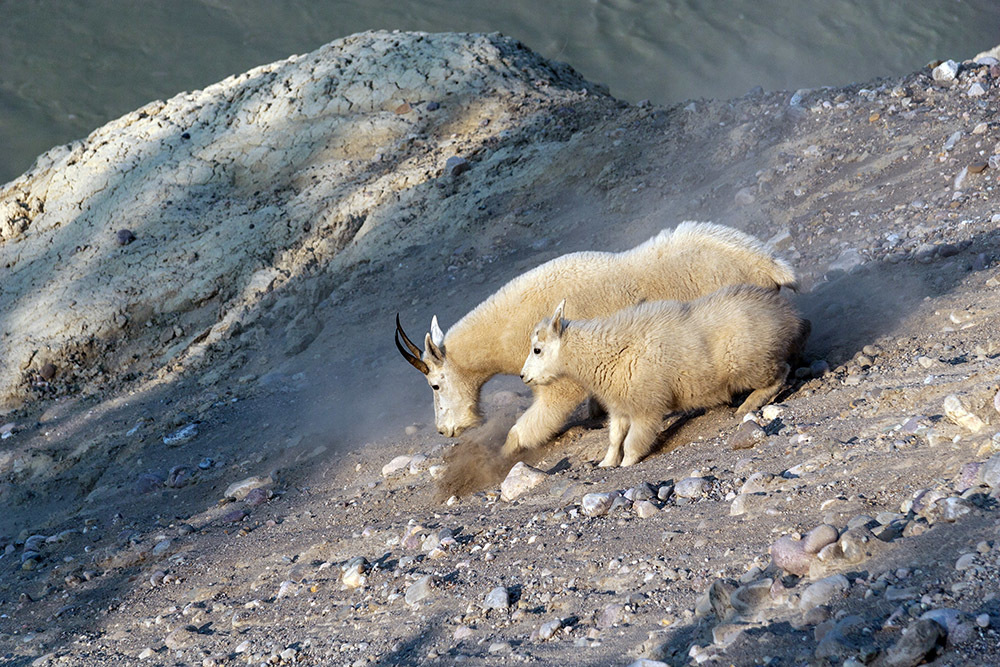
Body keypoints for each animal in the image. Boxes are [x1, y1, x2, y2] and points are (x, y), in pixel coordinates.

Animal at [398, 222, 796, 456]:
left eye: (434, 384)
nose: (446, 430)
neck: (508, 328)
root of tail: (770, 264)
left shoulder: (556, 373)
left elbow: (529, 424)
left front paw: (495, 462)